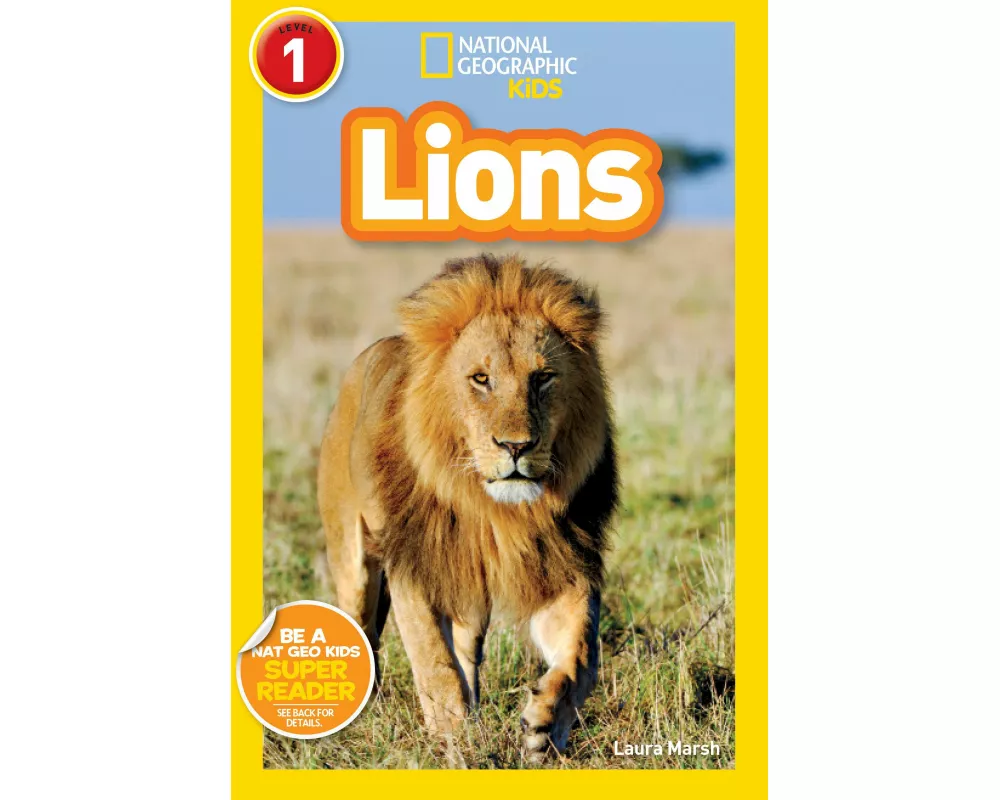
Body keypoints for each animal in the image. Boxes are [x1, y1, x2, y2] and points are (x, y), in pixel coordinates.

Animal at [317, 253, 618, 763]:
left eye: (543, 378)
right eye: (481, 379)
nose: (516, 446)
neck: (493, 511)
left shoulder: (561, 564)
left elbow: (582, 655)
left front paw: (545, 727)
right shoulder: (415, 567)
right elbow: (434, 665)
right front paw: (456, 744)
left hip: (470, 596)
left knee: (466, 651)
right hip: (353, 562)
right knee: (362, 624)